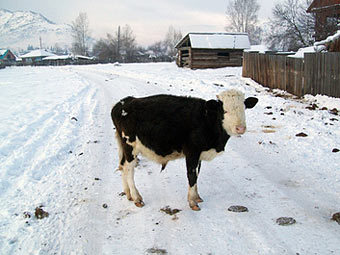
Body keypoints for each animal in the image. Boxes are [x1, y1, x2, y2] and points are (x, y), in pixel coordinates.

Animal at [111, 89, 258, 211]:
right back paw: (136, 197)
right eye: (224, 111)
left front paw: (197, 196)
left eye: (244, 109)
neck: (206, 120)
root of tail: (123, 102)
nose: (240, 128)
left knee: (122, 166)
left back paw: (128, 194)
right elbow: (192, 176)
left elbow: (197, 174)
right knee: (129, 169)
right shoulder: (192, 152)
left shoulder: (199, 155)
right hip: (130, 146)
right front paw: (192, 202)